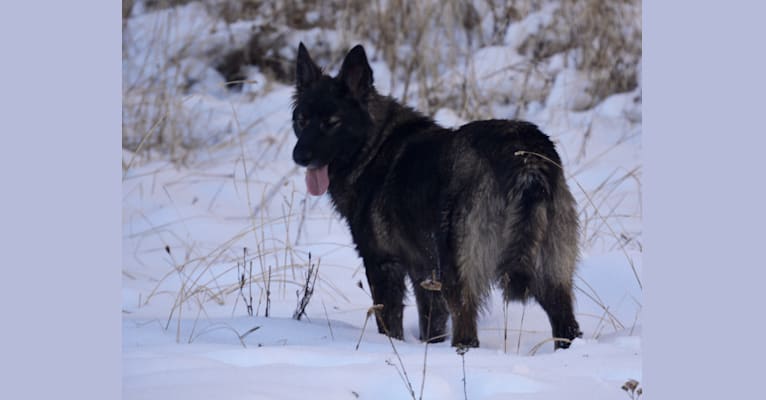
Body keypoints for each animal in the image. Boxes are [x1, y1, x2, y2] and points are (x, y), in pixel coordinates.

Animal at [292, 42, 584, 350]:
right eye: (301, 120)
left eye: (332, 123)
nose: (299, 156)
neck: (373, 147)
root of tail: (527, 158)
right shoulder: (426, 277)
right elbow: (431, 330)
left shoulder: (383, 265)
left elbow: (389, 326)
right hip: (551, 279)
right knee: (568, 328)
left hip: (459, 279)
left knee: (467, 334)